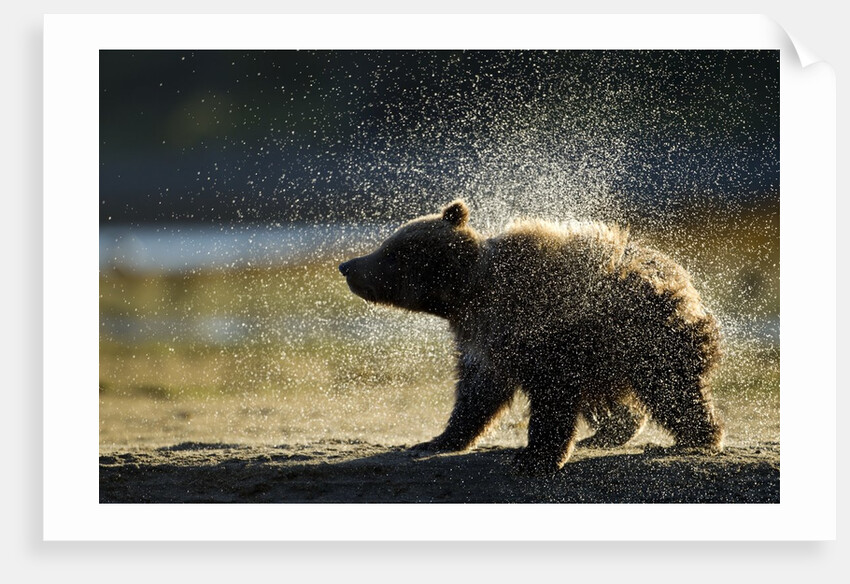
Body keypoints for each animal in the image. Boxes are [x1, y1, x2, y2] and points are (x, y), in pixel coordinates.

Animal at [339, 200, 724, 474]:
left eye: (388, 251)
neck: (469, 297)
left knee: (672, 390)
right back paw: (607, 432)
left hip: (646, 338)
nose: (347, 266)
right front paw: (436, 441)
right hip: (610, 354)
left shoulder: (542, 332)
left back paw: (694, 440)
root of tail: (681, 279)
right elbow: (476, 394)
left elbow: (552, 396)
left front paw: (535, 458)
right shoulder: (482, 340)